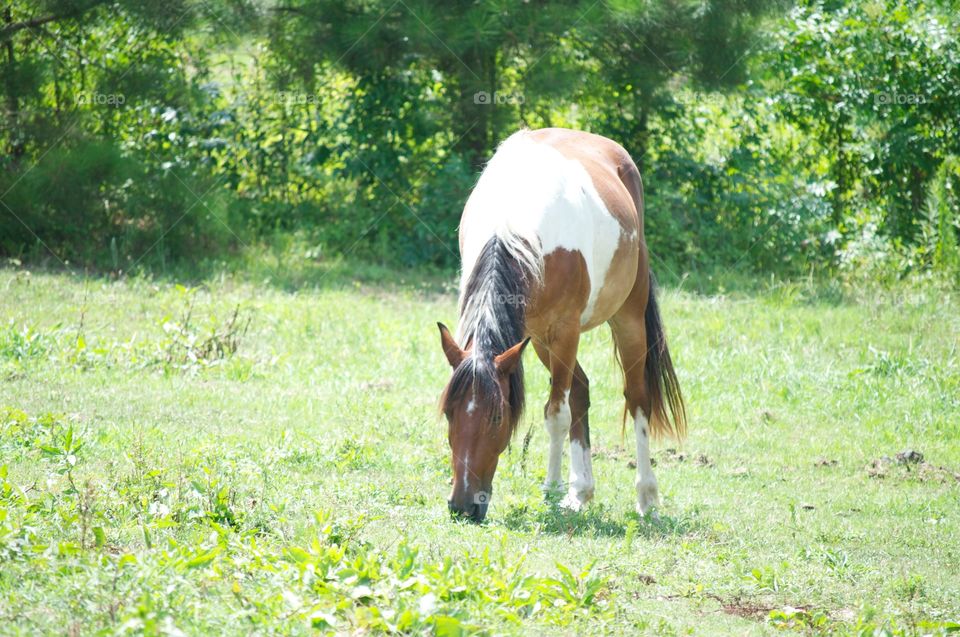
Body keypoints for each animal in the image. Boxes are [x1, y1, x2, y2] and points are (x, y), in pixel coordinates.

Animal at [438, 127, 686, 523]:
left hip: (627, 319)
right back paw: (581, 492)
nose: (462, 507)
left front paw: (551, 489)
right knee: (581, 390)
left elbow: (555, 413)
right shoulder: (534, 336)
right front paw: (566, 491)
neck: (513, 226)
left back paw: (646, 497)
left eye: (496, 418)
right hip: (541, 340)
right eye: (449, 412)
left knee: (637, 399)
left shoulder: (565, 333)